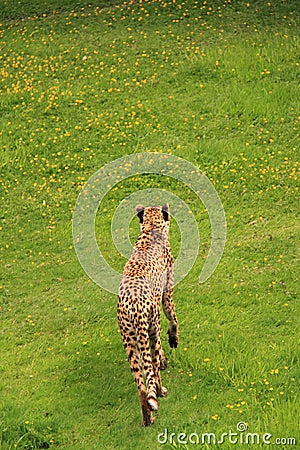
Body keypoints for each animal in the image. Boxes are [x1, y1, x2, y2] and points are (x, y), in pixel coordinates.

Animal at [117, 203, 178, 426]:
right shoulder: (167, 293)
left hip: (130, 343)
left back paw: (147, 418)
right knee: (152, 367)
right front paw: (173, 340)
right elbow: (173, 318)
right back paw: (161, 391)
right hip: (151, 328)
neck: (151, 230)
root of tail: (132, 305)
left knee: (142, 388)